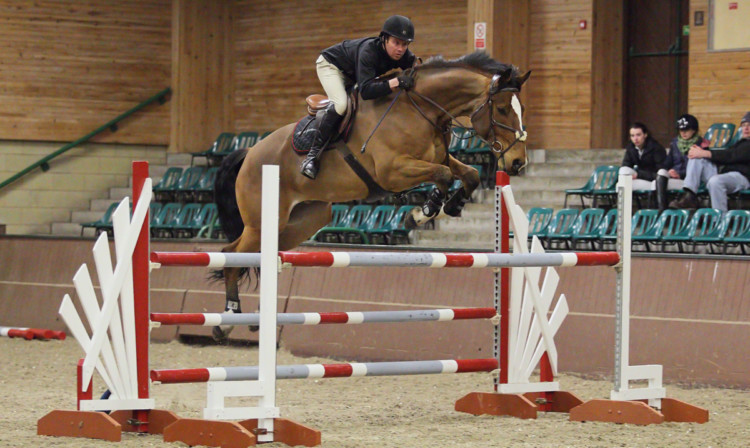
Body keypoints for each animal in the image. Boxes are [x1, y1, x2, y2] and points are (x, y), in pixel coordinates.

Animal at [210, 51, 528, 340]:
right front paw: (422, 212)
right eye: (502, 109)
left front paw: (449, 205)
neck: (420, 108)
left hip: (301, 221)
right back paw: (225, 321)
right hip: (261, 222)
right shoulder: (392, 171)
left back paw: (254, 317)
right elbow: (444, 175)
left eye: (520, 107)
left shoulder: (436, 158)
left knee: (256, 255)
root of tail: (251, 151)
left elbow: (467, 174)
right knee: (231, 256)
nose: (517, 163)